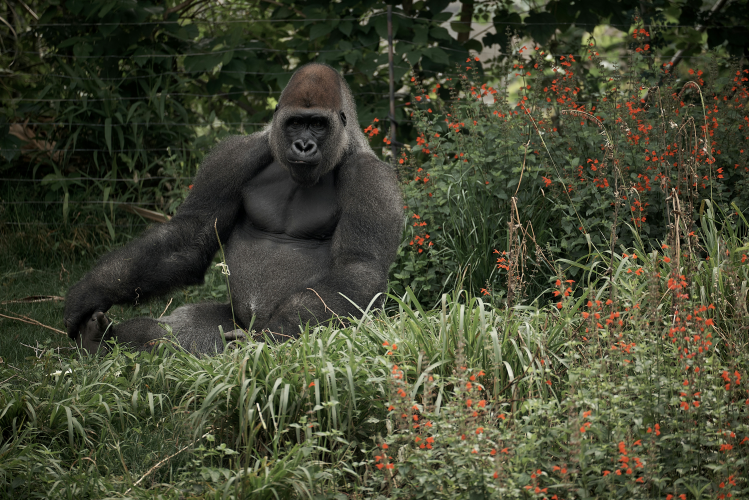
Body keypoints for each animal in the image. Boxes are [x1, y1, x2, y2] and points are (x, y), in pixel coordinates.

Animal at [64, 63, 403, 355]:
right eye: (296, 123)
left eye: (318, 125)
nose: (304, 146)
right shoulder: (233, 156)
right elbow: (190, 234)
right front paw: (94, 290)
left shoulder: (373, 179)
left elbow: (357, 267)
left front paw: (272, 336)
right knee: (175, 331)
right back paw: (101, 340)